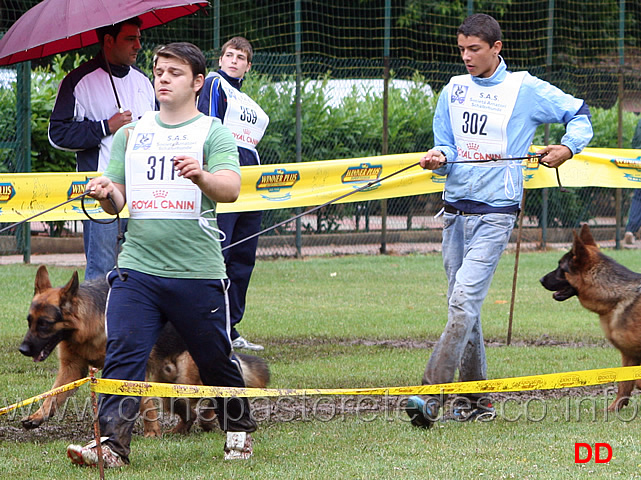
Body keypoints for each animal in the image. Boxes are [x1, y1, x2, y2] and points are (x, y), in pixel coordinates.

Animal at [18, 264, 268, 436]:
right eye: (29, 321)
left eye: (45, 324)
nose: (23, 349)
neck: (88, 325)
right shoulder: (72, 370)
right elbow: (52, 395)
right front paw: (37, 416)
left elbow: (143, 401)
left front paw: (151, 432)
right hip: (169, 389)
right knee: (190, 412)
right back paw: (181, 430)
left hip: (186, 379)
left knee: (209, 397)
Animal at [540, 225, 640, 412]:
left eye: (560, 268)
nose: (541, 279)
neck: (616, 297)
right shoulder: (628, 354)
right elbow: (625, 384)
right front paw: (615, 408)